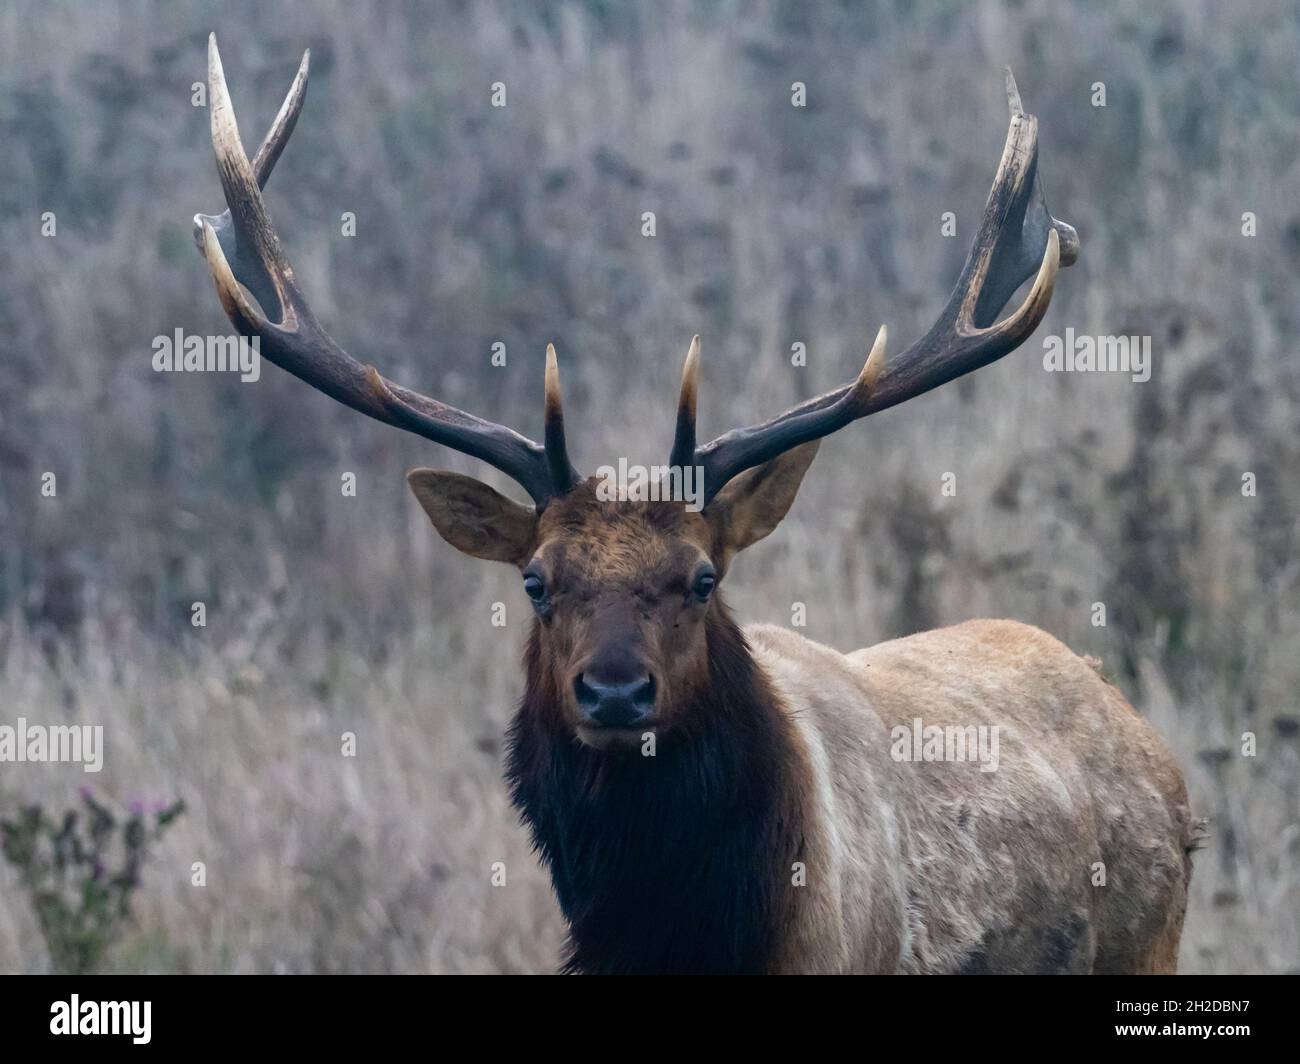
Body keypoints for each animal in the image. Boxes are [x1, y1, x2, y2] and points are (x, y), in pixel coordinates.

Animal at [192, 39, 1196, 967]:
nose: (615, 690)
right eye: (534, 581)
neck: (687, 941)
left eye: (704, 577)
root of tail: (1150, 744)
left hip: (1152, 937)